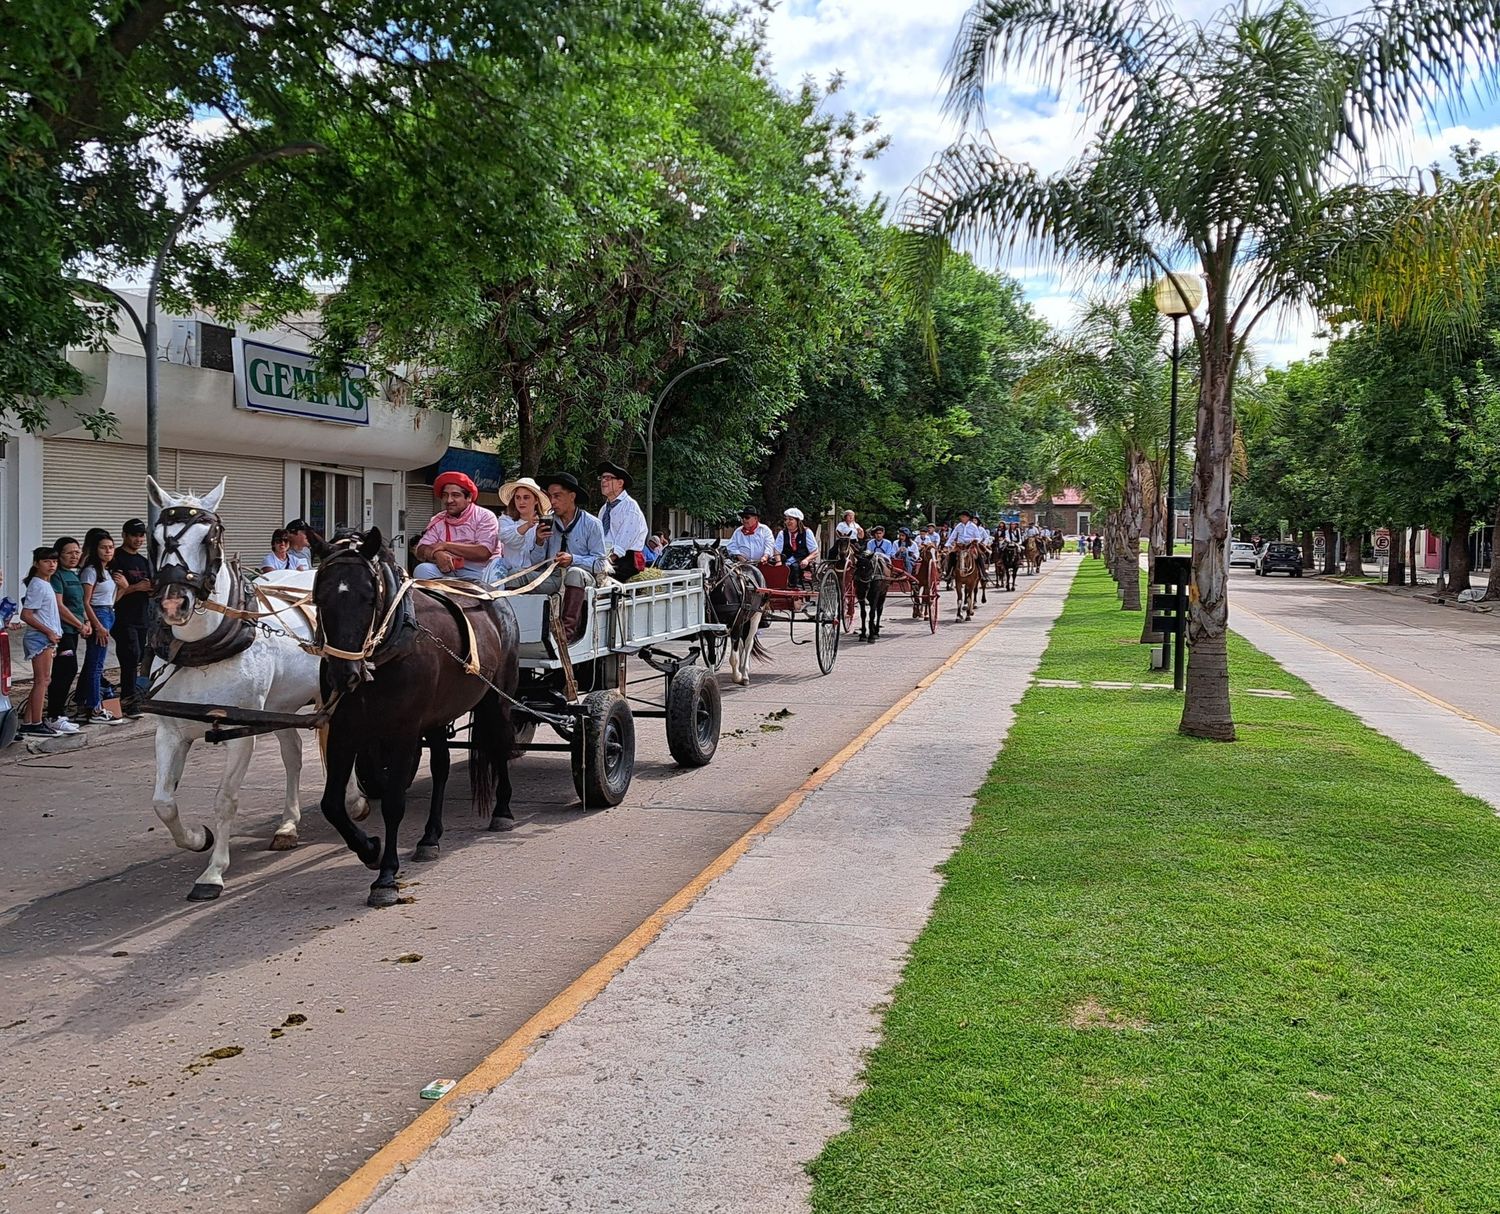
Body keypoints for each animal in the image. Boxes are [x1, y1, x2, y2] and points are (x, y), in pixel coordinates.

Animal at [145, 477, 366, 900]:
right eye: (157, 537)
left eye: (210, 537)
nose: (173, 604)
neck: (204, 648)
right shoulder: (170, 730)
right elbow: (163, 802)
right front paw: (198, 838)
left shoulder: (239, 732)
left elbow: (225, 798)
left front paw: (213, 872)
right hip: (279, 707)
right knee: (293, 755)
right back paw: (288, 824)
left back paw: (355, 799)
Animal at [313, 525, 525, 906]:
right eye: (320, 598)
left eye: (369, 598)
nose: (344, 675)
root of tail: (493, 595)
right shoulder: (345, 728)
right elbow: (332, 804)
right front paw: (370, 849)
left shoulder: (405, 731)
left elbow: (393, 803)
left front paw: (385, 876)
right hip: (438, 715)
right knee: (441, 766)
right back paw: (430, 836)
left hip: (497, 699)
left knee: (500, 746)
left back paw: (502, 811)